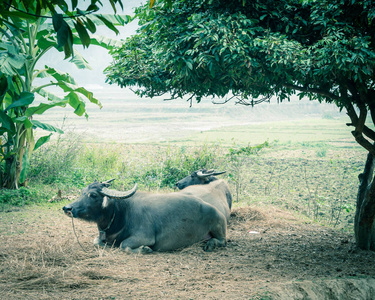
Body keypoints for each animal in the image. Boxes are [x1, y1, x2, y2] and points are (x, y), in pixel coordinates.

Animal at [62, 179, 226, 252]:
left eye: (93, 195)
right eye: (82, 192)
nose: (67, 208)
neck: (121, 214)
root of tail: (216, 210)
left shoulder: (144, 237)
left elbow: (124, 245)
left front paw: (145, 249)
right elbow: (96, 241)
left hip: (218, 227)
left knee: (222, 241)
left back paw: (210, 244)